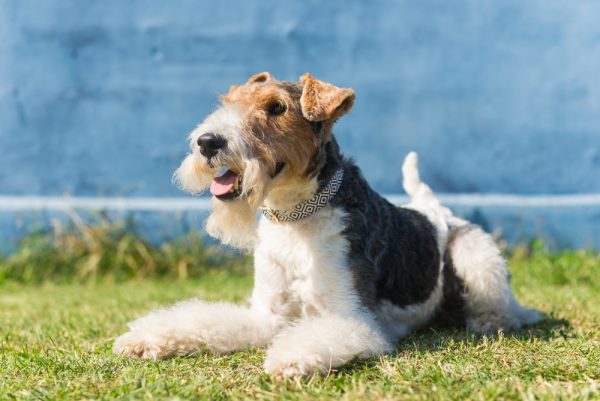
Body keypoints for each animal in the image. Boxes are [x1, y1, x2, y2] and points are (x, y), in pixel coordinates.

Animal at [113, 73, 544, 376]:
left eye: (276, 108)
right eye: (228, 103)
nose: (207, 142)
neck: (294, 217)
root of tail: (436, 212)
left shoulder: (354, 320)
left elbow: (316, 338)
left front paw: (287, 360)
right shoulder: (268, 315)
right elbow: (205, 320)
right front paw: (143, 339)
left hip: (474, 255)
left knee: (504, 306)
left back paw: (489, 321)